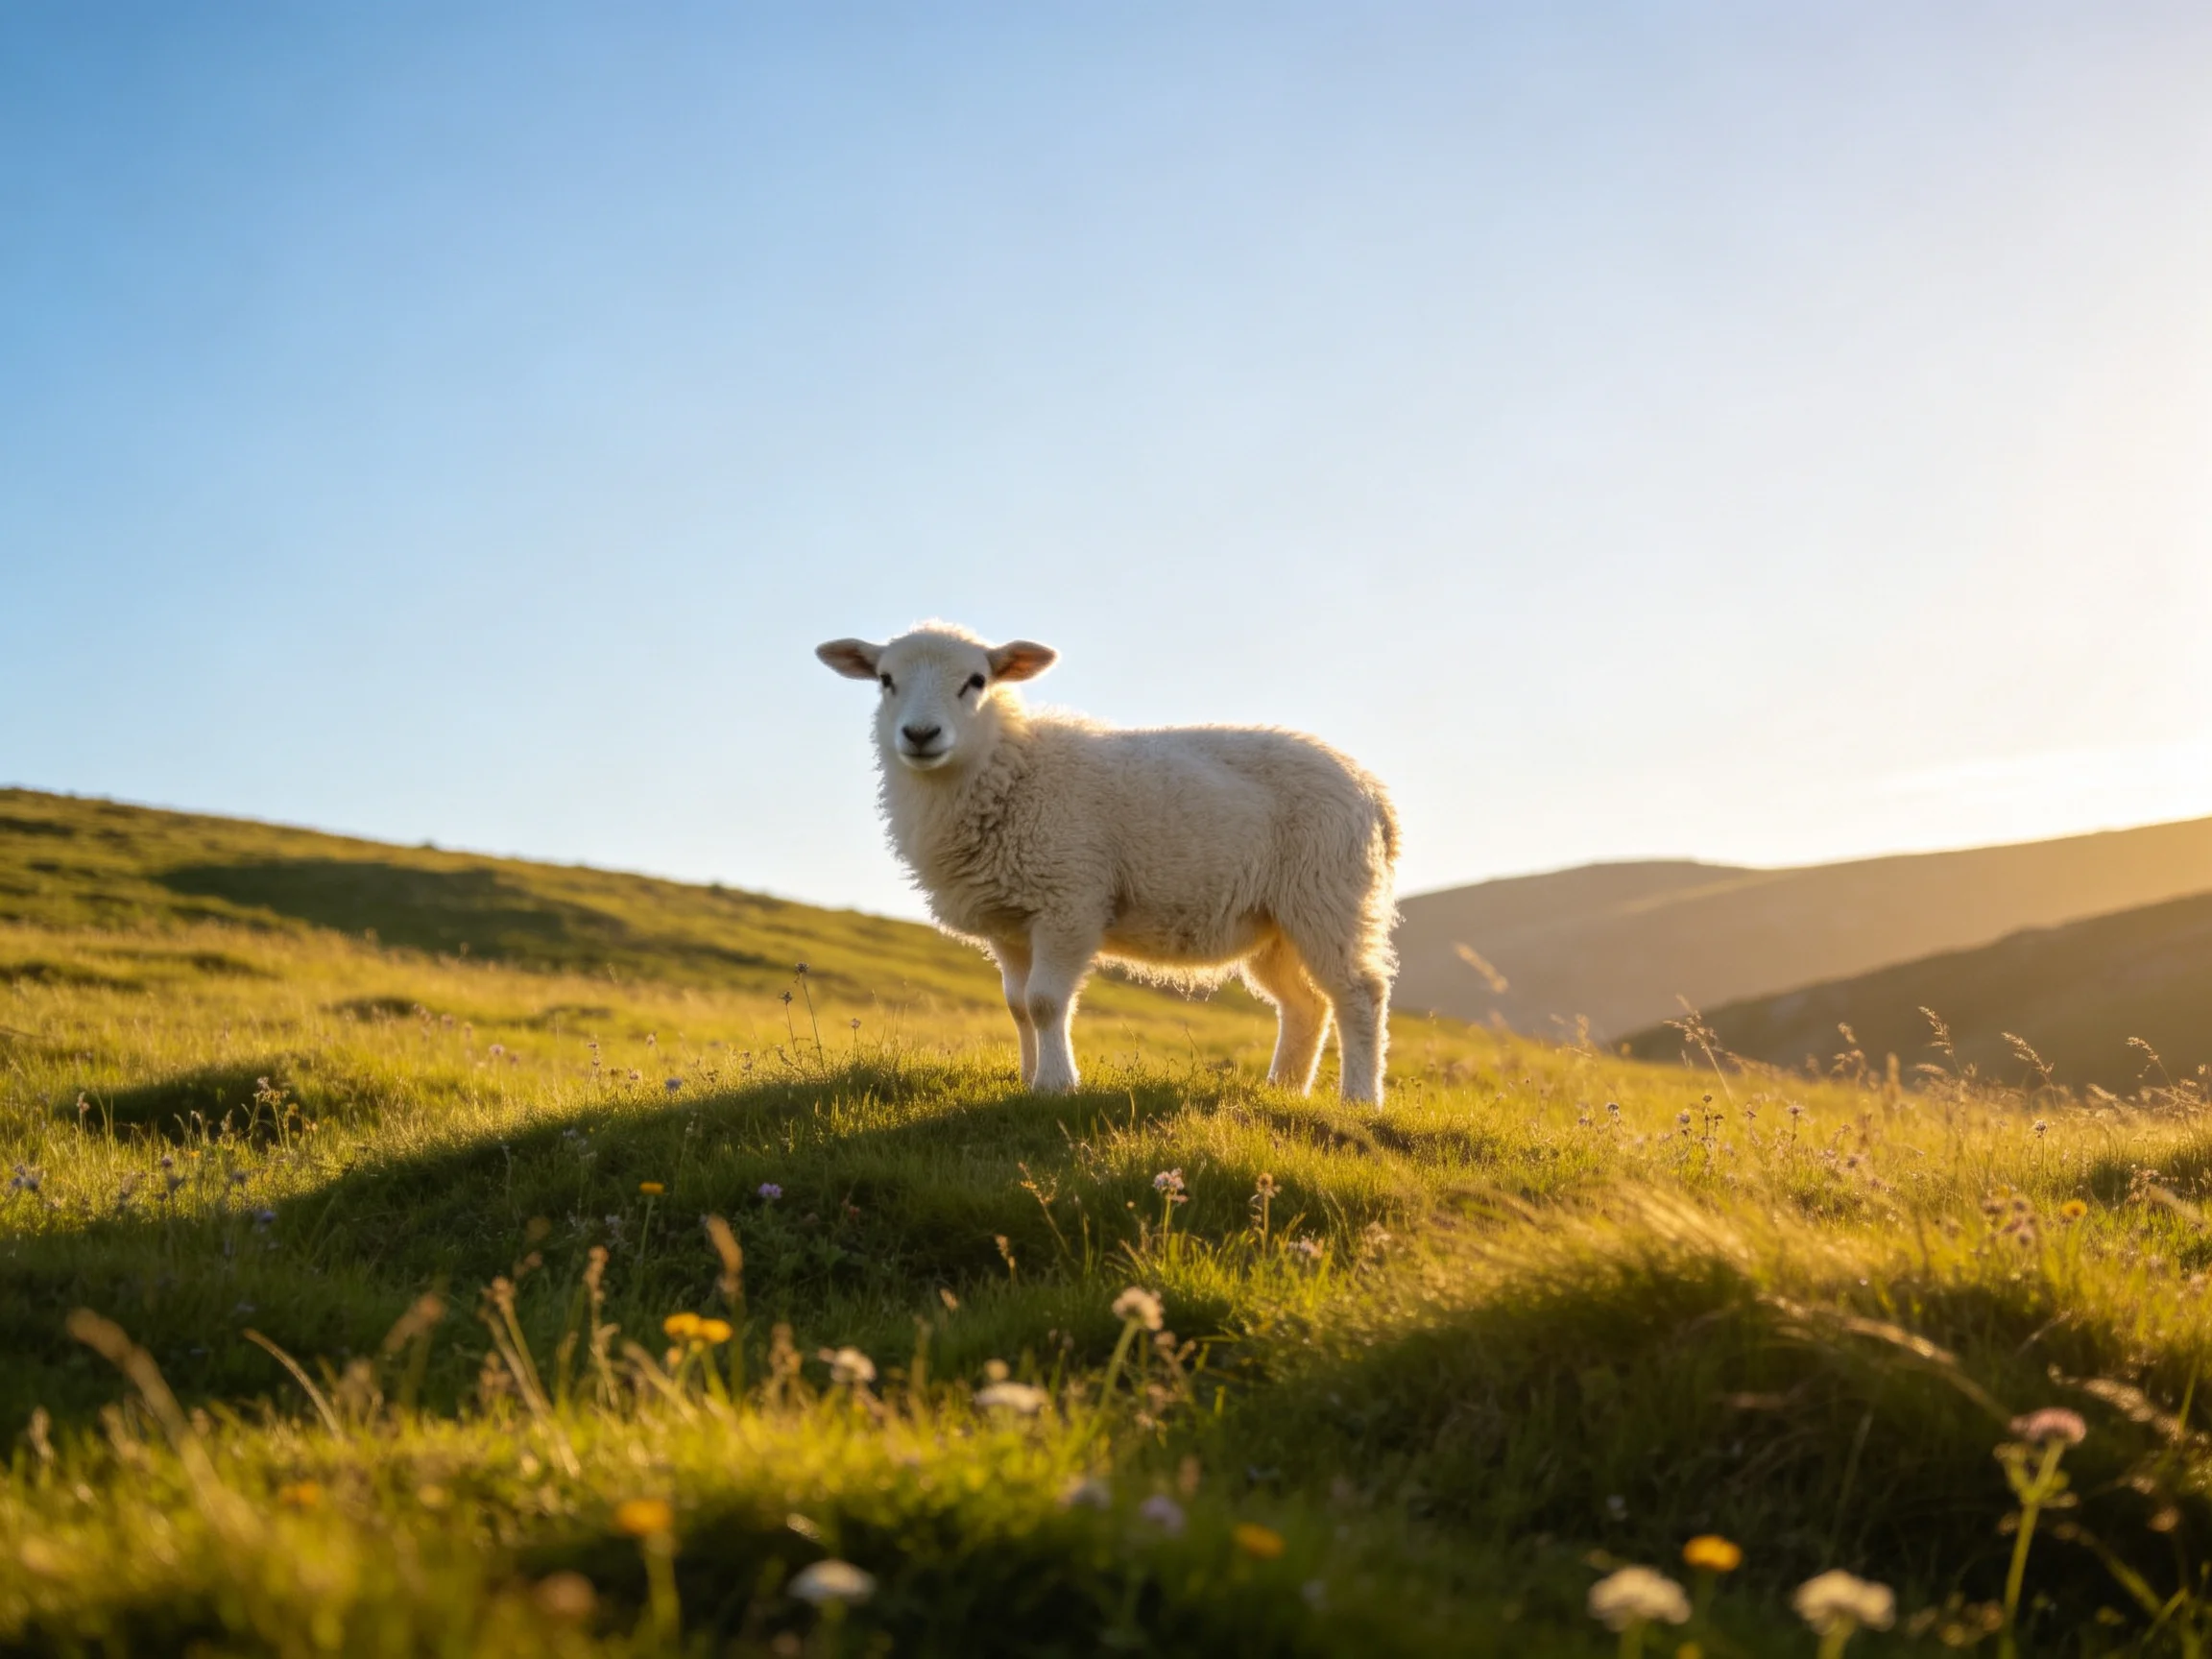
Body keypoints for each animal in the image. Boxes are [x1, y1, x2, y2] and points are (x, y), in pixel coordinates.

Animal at [815, 622, 1400, 1103]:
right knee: (1305, 1004)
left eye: (977, 680)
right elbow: (1017, 1005)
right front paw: (1027, 1080)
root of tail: (1371, 790)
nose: (920, 735)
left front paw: (1056, 1086)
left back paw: (1359, 1099)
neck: (1011, 770)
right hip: (1276, 922)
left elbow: (1046, 1002)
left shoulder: (1068, 900)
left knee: (1359, 995)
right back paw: (1283, 1090)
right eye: (885, 679)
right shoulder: (1008, 921)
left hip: (1328, 895)